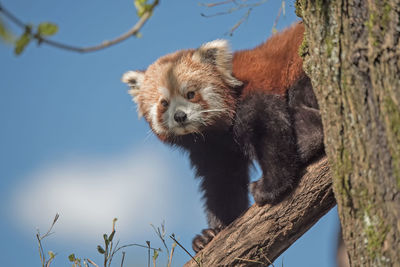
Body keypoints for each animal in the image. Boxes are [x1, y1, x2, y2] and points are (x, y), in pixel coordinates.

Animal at [121, 22, 322, 253]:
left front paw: (270, 188)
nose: (180, 116)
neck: (213, 133)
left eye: (190, 94)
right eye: (164, 103)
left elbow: (268, 128)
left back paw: (309, 141)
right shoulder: (213, 149)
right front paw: (211, 233)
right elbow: (222, 180)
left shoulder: (255, 92)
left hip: (304, 67)